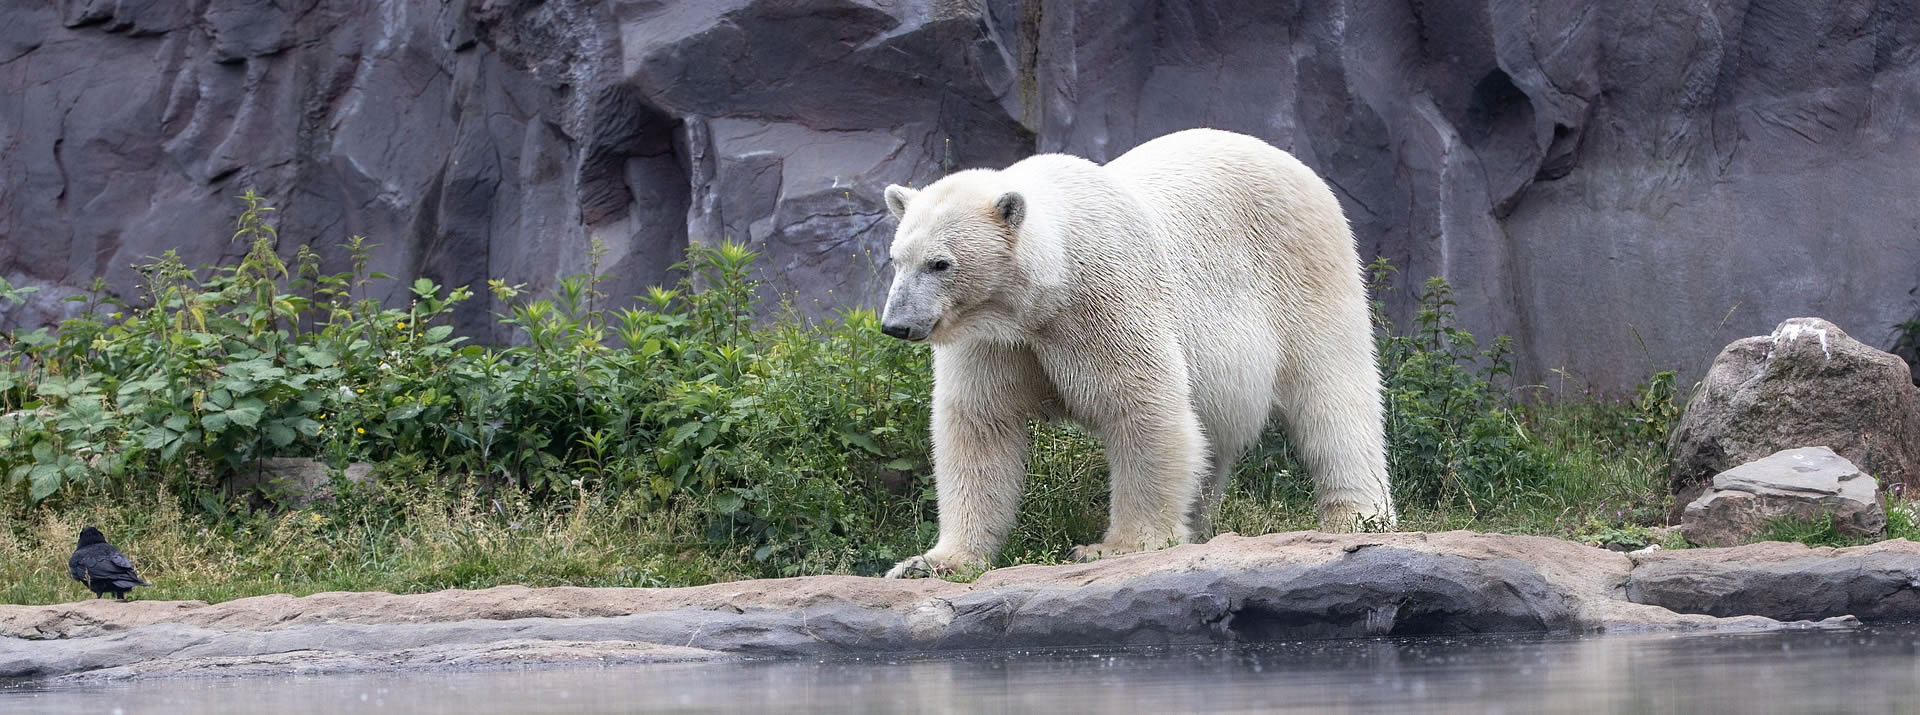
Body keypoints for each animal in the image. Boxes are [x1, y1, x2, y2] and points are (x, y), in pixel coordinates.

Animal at [875, 125, 1397, 576]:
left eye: (941, 263)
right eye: (897, 259)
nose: (896, 324)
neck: (1042, 294)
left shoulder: (1103, 300)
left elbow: (1144, 408)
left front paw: (1115, 547)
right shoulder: (996, 339)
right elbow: (980, 425)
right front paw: (932, 562)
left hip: (1305, 269)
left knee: (1333, 395)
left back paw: (1358, 517)